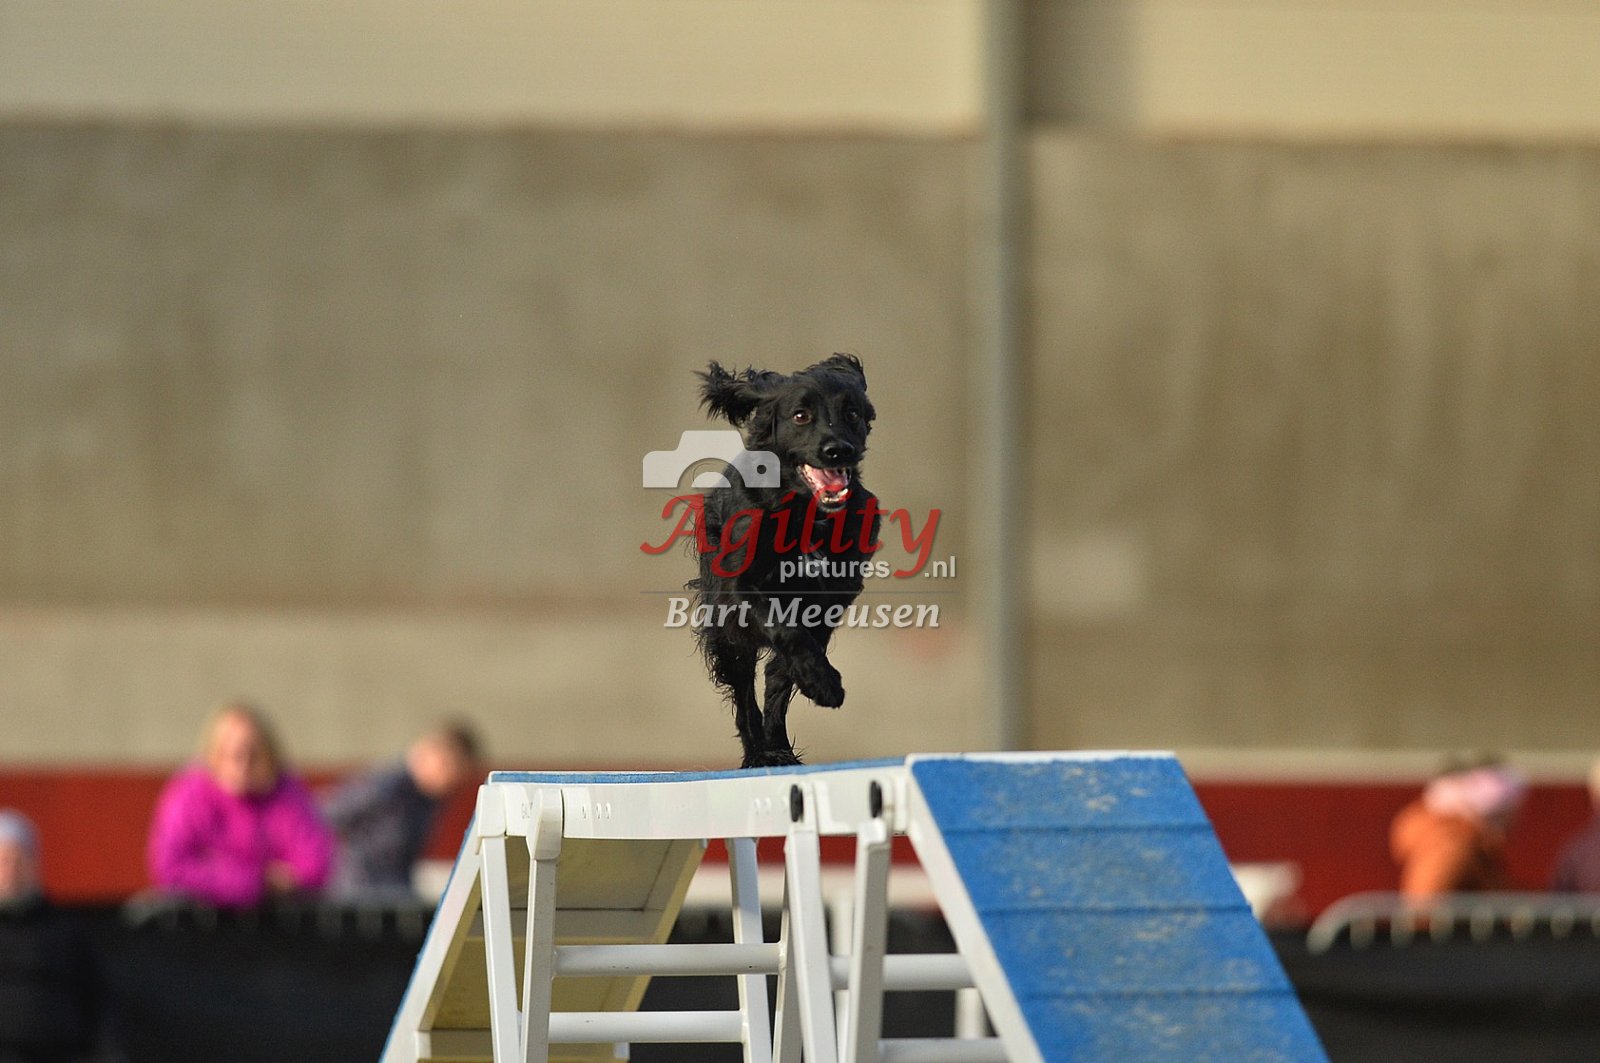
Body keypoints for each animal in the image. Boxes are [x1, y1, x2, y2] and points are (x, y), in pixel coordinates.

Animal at [689, 354, 882, 768]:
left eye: (852, 413)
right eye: (800, 415)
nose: (837, 450)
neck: (805, 512)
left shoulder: (834, 594)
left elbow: (788, 663)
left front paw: (817, 680)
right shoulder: (738, 590)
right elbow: (784, 630)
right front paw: (824, 682)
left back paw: (777, 746)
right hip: (726, 635)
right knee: (744, 690)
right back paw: (759, 752)